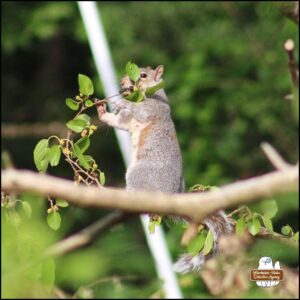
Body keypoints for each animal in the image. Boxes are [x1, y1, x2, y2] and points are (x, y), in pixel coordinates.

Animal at [95, 65, 232, 274]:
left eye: (143, 75)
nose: (123, 81)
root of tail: (170, 197)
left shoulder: (154, 109)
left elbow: (140, 109)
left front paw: (119, 101)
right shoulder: (128, 120)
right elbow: (119, 122)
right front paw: (103, 110)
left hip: (139, 175)